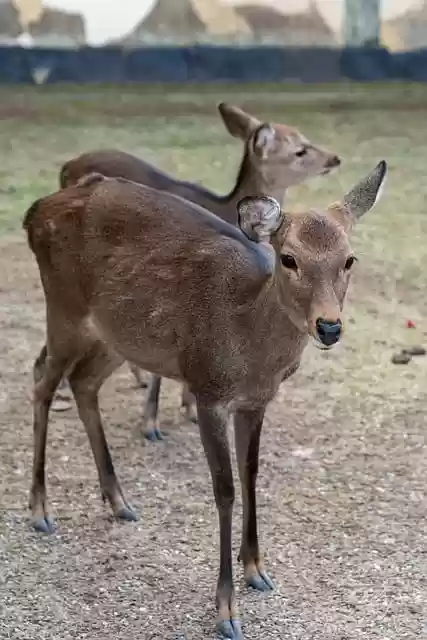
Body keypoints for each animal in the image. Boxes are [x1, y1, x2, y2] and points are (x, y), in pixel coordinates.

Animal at [24, 159, 386, 640]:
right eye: (289, 258)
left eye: (349, 259)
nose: (329, 327)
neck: (249, 345)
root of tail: (33, 211)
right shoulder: (207, 389)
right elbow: (225, 489)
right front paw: (227, 612)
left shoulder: (255, 401)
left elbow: (251, 475)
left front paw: (257, 569)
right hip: (63, 307)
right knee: (42, 379)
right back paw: (40, 510)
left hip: (117, 335)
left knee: (83, 383)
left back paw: (120, 502)